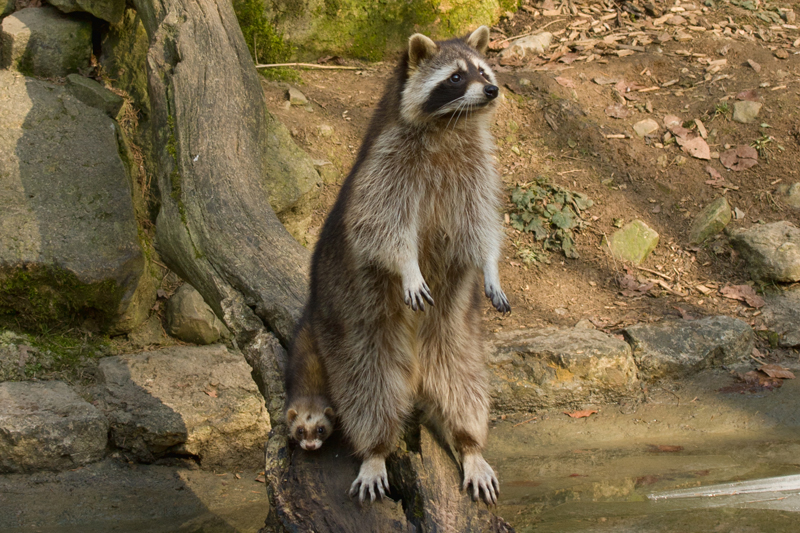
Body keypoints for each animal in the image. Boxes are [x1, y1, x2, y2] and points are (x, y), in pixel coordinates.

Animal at [296, 26, 510, 502]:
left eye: (484, 71)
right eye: (455, 77)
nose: (492, 90)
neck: (451, 126)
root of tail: (415, 372)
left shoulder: (476, 172)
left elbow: (481, 225)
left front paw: (490, 265)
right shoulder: (386, 165)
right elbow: (380, 227)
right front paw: (409, 266)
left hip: (456, 333)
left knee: (463, 382)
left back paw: (469, 443)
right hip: (355, 328)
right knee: (368, 388)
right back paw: (375, 448)